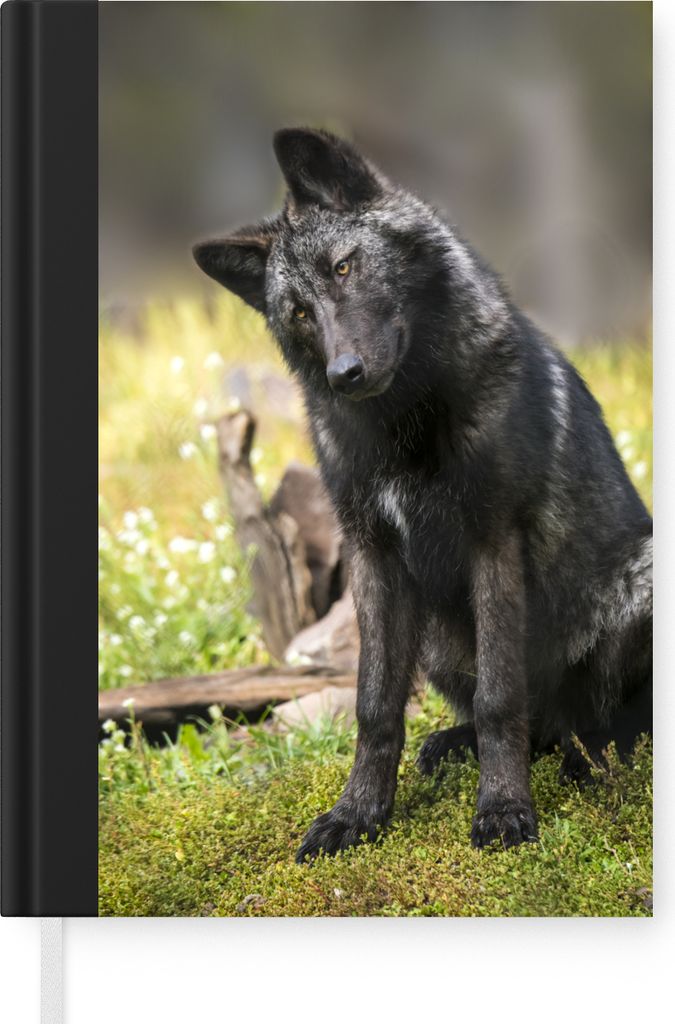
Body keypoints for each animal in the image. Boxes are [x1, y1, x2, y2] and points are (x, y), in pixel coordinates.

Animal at [194, 128, 652, 858]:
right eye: (299, 312)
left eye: (344, 267)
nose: (344, 373)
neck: (403, 428)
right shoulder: (373, 557)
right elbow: (374, 705)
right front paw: (357, 813)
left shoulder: (492, 541)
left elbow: (499, 698)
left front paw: (503, 810)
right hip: (434, 638)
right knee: (538, 728)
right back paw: (461, 746)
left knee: (598, 724)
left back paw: (591, 758)